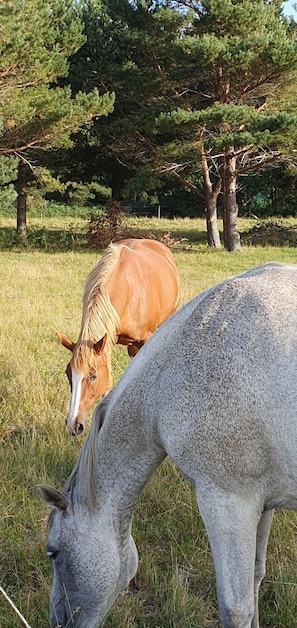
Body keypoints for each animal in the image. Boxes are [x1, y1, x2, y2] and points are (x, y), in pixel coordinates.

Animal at [38, 264, 296, 628]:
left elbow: (236, 608)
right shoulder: (263, 504)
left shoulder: (227, 502)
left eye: (53, 551)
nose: (57, 621)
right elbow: (257, 578)